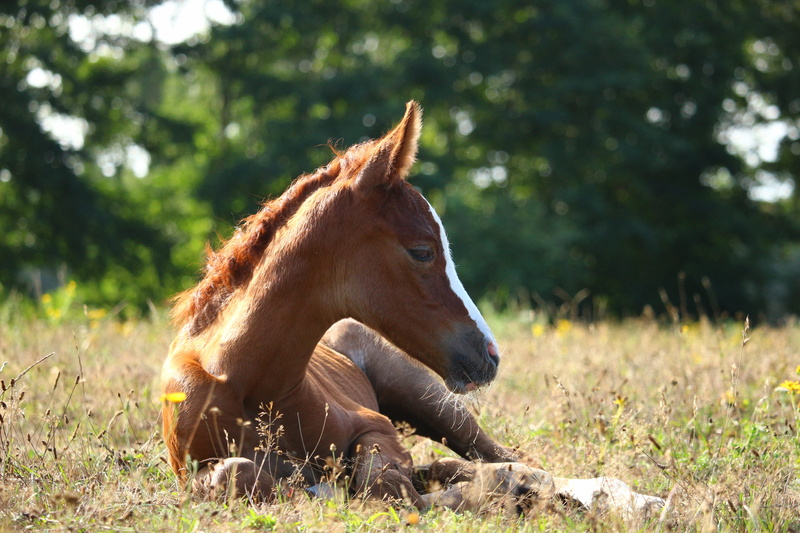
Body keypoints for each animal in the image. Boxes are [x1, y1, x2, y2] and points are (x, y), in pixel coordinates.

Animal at [161, 101, 665, 516]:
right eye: (423, 251)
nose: (490, 354)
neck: (252, 385)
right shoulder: (190, 472)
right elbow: (237, 473)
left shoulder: (376, 427)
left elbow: (385, 485)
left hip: (431, 401)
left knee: (515, 461)